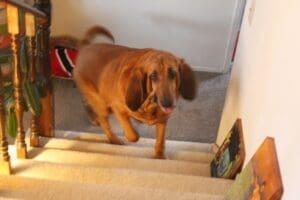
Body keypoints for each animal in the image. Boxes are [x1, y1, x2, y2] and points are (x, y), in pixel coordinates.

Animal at [74, 26, 197, 158]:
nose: (168, 104)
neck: (150, 105)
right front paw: (130, 133)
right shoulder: (119, 109)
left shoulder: (162, 120)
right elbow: (133, 135)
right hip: (101, 104)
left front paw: (159, 157)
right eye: (153, 76)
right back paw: (113, 140)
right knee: (104, 123)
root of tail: (85, 47)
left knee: (86, 101)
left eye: (173, 73)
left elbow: (160, 142)